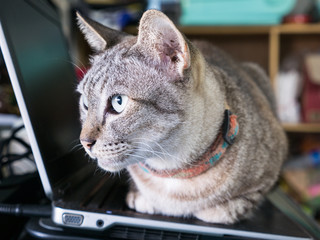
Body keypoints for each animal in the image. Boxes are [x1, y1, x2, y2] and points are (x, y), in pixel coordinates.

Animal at [77, 9, 288, 223]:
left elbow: (236, 205)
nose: (84, 142)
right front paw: (139, 196)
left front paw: (217, 211)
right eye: (85, 103)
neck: (172, 171)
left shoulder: (270, 169)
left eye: (118, 102)